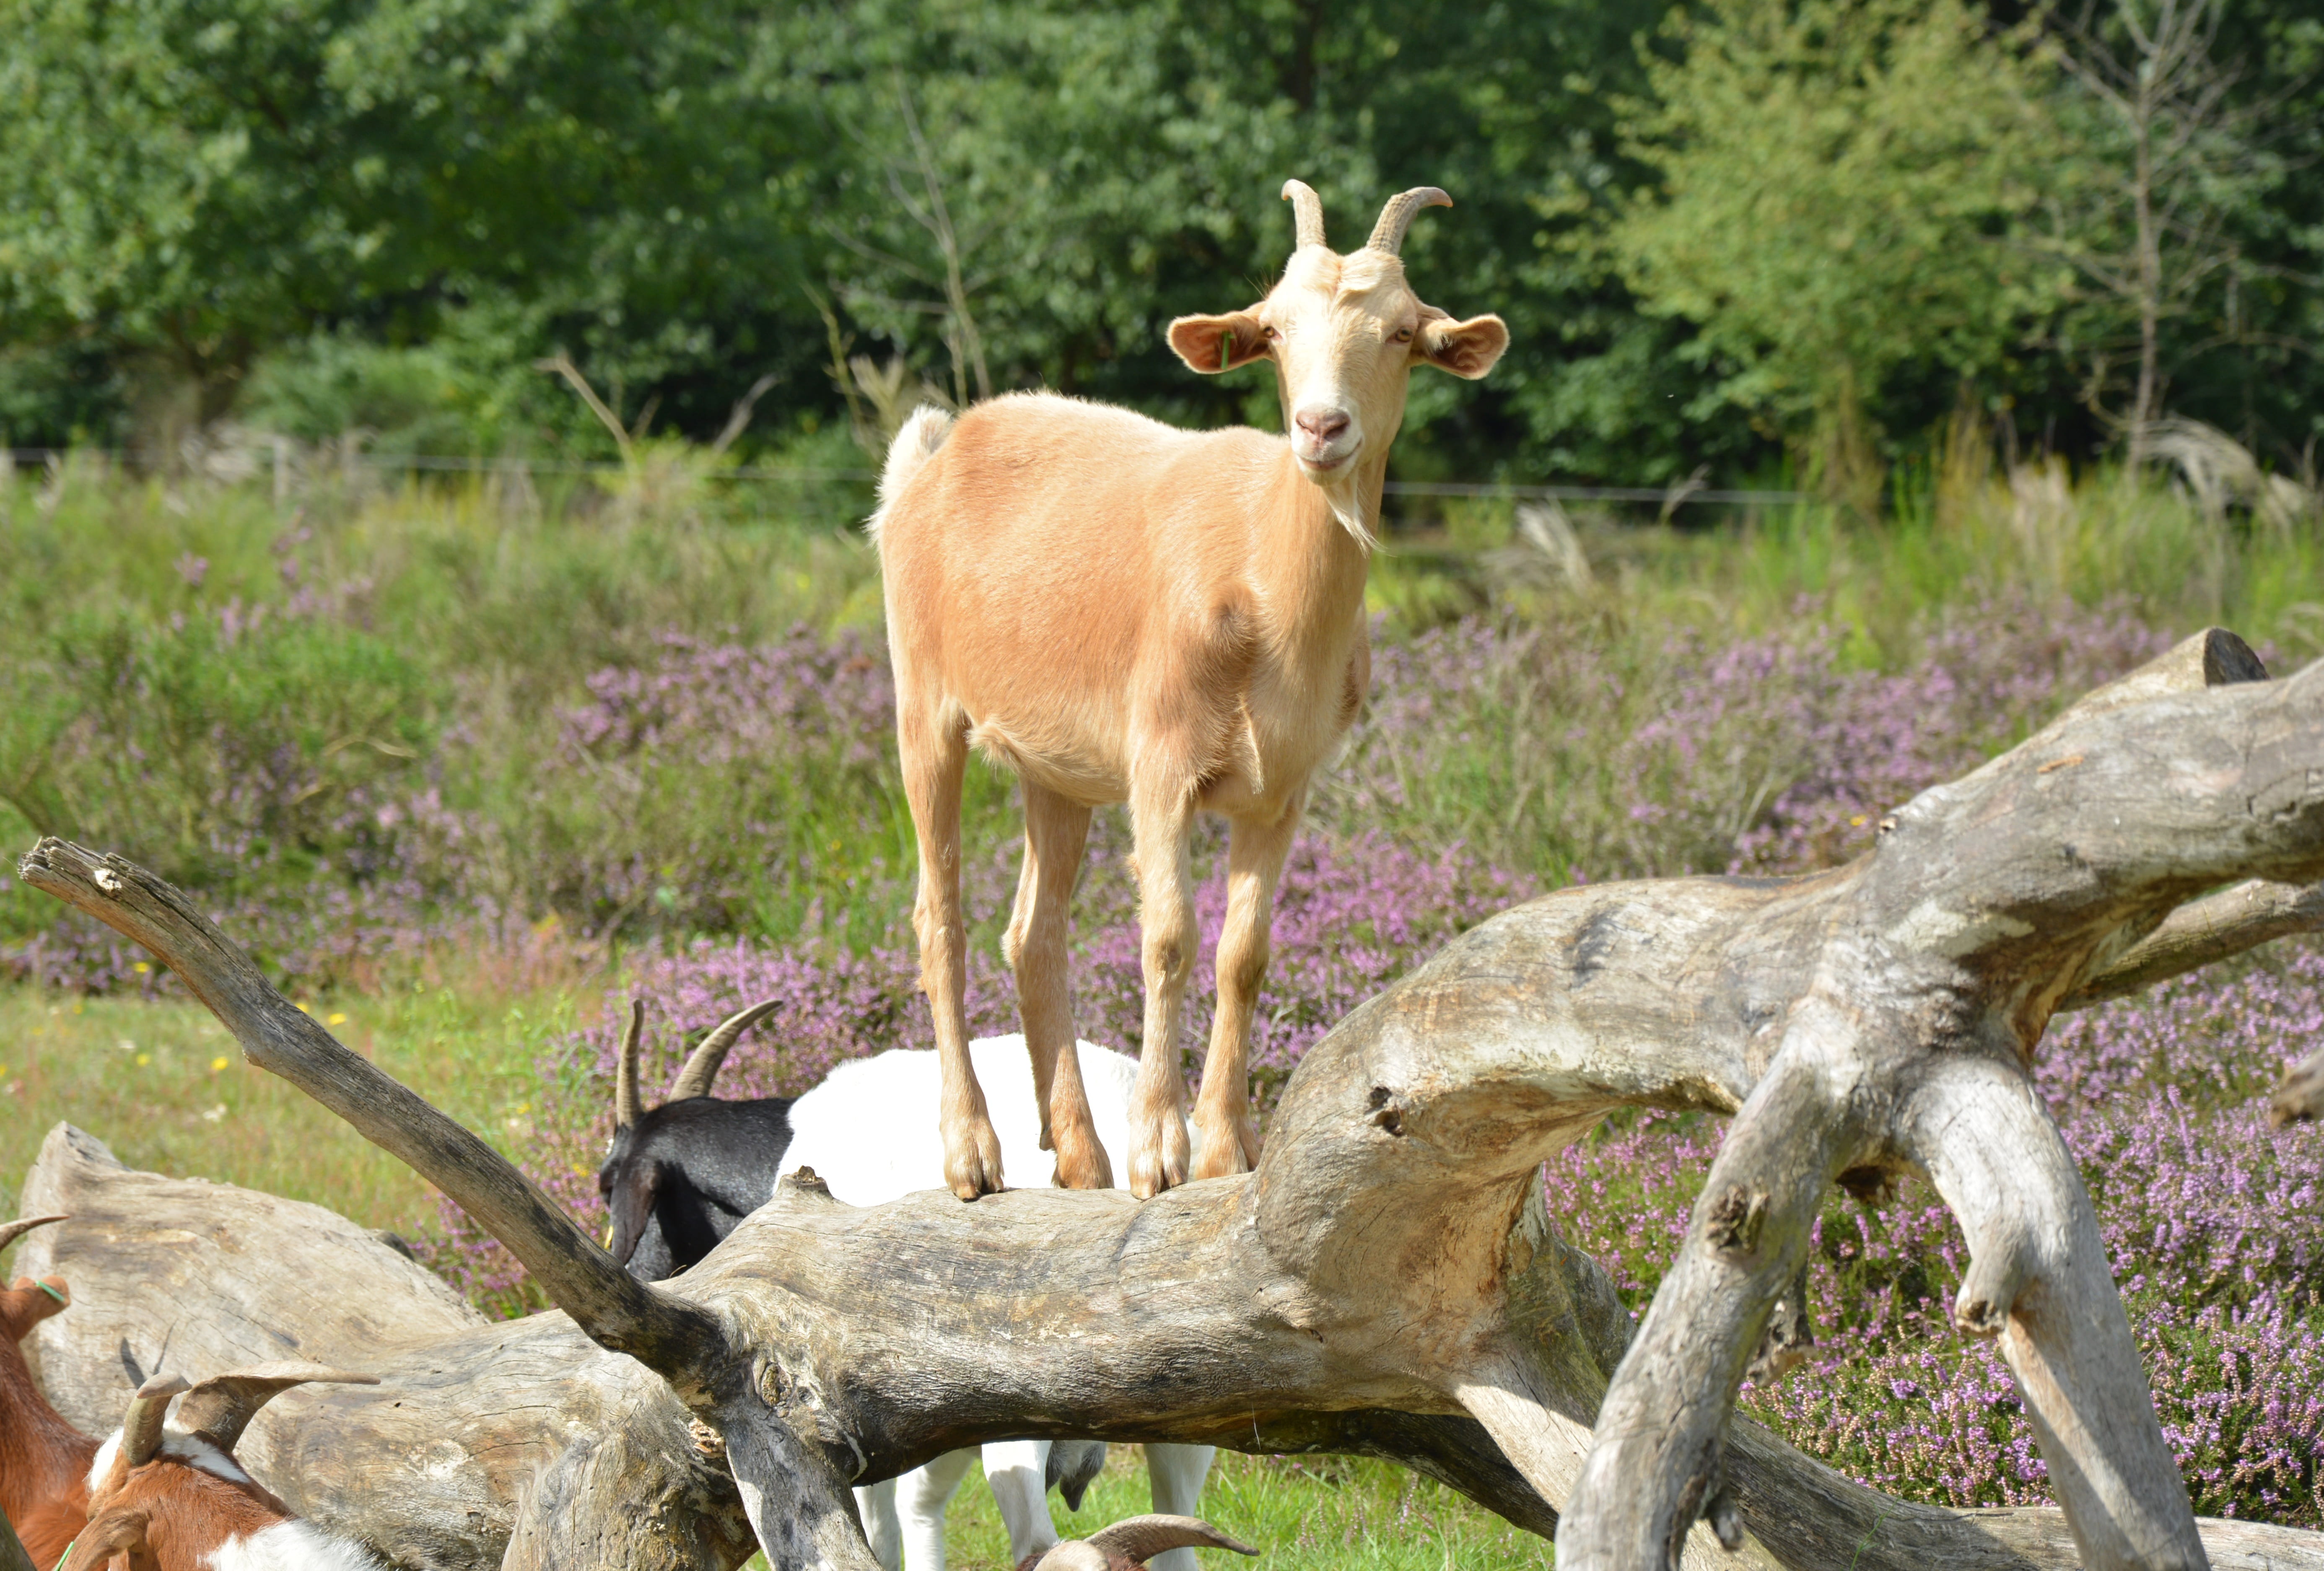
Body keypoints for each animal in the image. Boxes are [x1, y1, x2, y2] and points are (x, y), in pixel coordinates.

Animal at [873, 178, 1509, 1200]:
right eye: (1275, 329)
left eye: (1403, 332)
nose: (1321, 428)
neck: (1263, 582)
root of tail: (927, 461)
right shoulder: (1159, 760)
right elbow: (1167, 934)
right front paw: (1160, 1149)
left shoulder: (1284, 787)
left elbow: (1243, 953)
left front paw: (1224, 1147)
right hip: (923, 702)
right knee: (942, 916)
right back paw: (973, 1153)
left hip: (1055, 768)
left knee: (1033, 931)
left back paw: (1079, 1156)